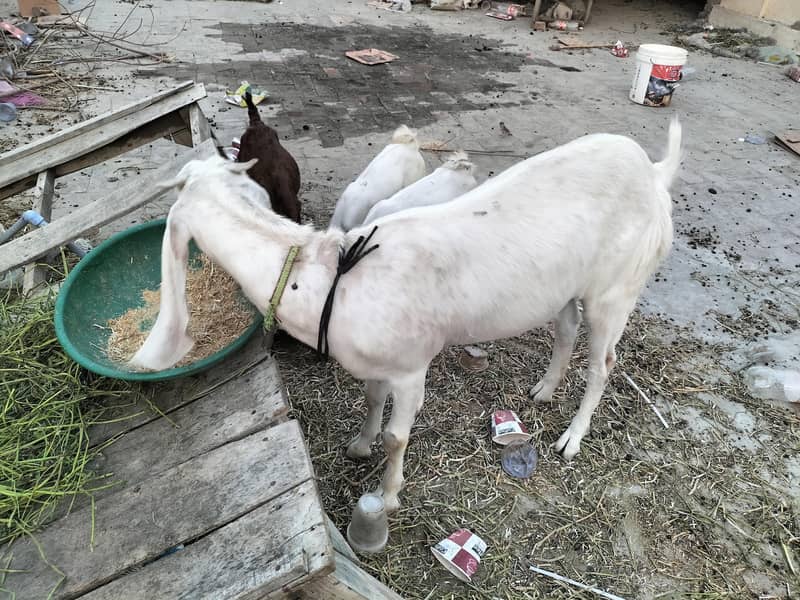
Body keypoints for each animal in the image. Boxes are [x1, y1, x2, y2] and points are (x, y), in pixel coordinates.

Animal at [130, 119, 682, 513]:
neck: (328, 278)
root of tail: (653, 171)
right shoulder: (379, 363)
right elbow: (371, 399)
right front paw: (359, 444)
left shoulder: (413, 367)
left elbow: (399, 436)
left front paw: (389, 493)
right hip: (567, 284)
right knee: (566, 329)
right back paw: (544, 390)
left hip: (617, 287)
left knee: (604, 363)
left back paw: (571, 438)